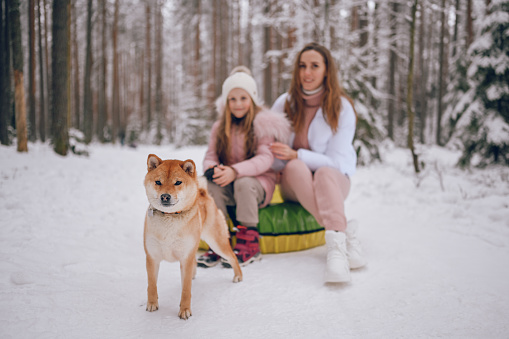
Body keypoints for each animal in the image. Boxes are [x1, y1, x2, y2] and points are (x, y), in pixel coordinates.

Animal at [141, 155, 240, 320]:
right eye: (158, 182)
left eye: (178, 182)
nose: (165, 196)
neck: (170, 219)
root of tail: (203, 193)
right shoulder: (152, 257)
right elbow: (151, 284)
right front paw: (152, 304)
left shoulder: (185, 257)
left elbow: (186, 289)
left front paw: (185, 310)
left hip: (216, 242)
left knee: (233, 257)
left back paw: (238, 276)